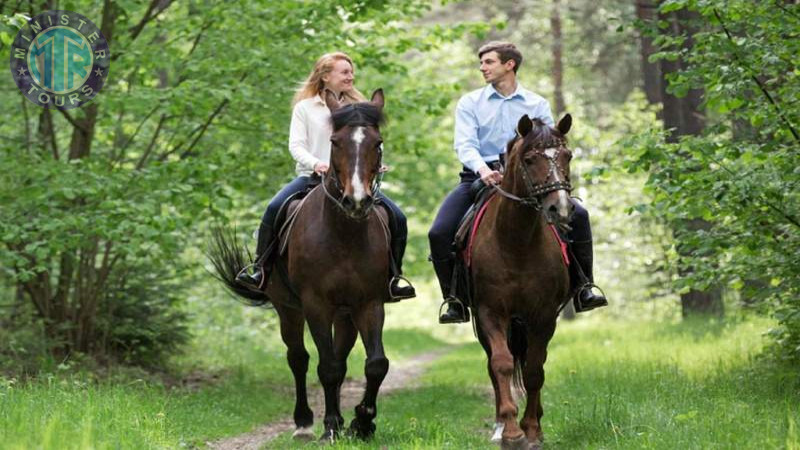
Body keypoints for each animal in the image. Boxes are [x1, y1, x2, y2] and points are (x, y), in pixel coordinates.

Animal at [209, 89, 390, 442]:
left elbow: (374, 363)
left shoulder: (369, 302)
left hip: (344, 313)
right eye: (335, 141)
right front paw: (330, 427)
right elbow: (326, 367)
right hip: (288, 308)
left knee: (341, 357)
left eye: (377, 143)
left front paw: (362, 422)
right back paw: (305, 422)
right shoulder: (314, 304)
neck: (344, 234)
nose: (357, 201)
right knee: (299, 359)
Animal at [468, 113, 576, 450]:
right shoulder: (490, 312)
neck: (516, 241)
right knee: (493, 365)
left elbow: (534, 369)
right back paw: (500, 426)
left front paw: (531, 429)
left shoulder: (543, 315)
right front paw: (511, 432)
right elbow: (501, 364)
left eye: (568, 155)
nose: (560, 208)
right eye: (529, 160)